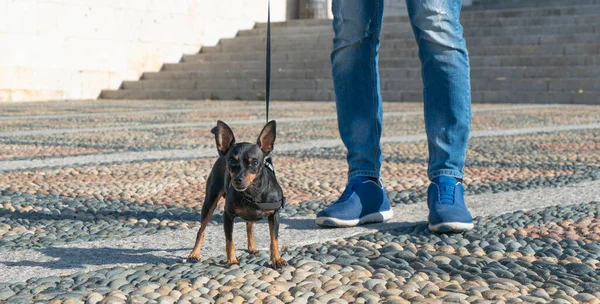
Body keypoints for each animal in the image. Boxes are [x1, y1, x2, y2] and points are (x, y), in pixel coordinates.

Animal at [189, 120, 288, 268]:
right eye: (231, 161)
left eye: (254, 162)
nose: (237, 180)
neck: (253, 192)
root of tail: (221, 155)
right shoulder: (228, 215)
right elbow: (229, 241)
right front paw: (232, 260)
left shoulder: (274, 215)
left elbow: (274, 240)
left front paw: (277, 259)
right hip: (209, 202)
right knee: (201, 230)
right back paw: (194, 254)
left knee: (249, 226)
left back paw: (252, 247)